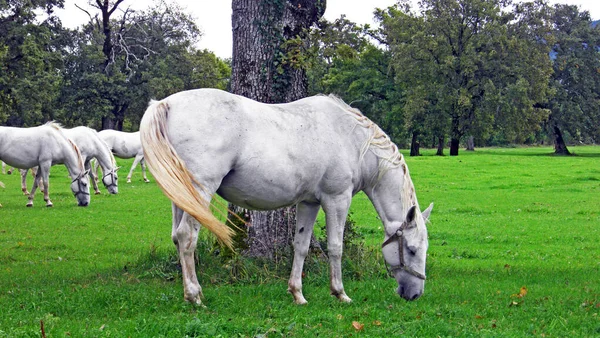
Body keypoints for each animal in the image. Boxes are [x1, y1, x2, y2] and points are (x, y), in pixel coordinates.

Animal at [139, 88, 432, 304]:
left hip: (182, 198)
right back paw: (195, 296)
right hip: (200, 191)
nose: (415, 294)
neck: (352, 139)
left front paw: (297, 294)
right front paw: (340, 293)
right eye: (412, 249)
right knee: (187, 237)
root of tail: (166, 103)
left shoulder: (309, 203)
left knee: (177, 237)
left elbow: (300, 246)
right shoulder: (337, 200)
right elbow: (335, 247)